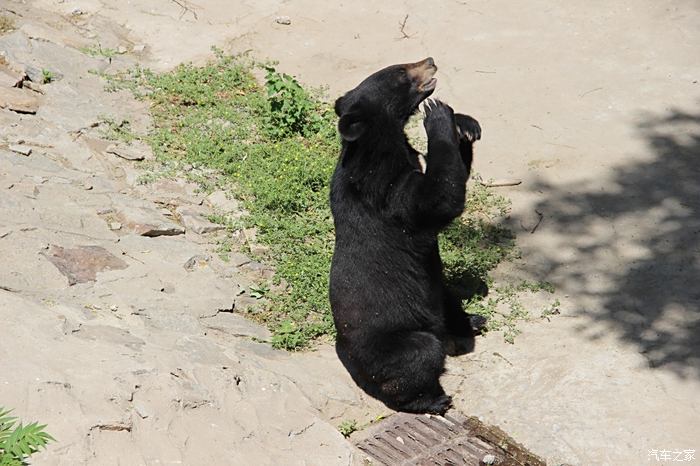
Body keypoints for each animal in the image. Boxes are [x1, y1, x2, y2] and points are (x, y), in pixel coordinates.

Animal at [330, 56, 482, 414]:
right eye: (400, 72)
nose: (430, 60)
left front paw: (467, 125)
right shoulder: (386, 189)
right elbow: (438, 199)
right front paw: (438, 114)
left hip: (438, 291)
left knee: (449, 301)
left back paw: (471, 320)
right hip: (398, 338)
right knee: (418, 359)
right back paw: (435, 399)